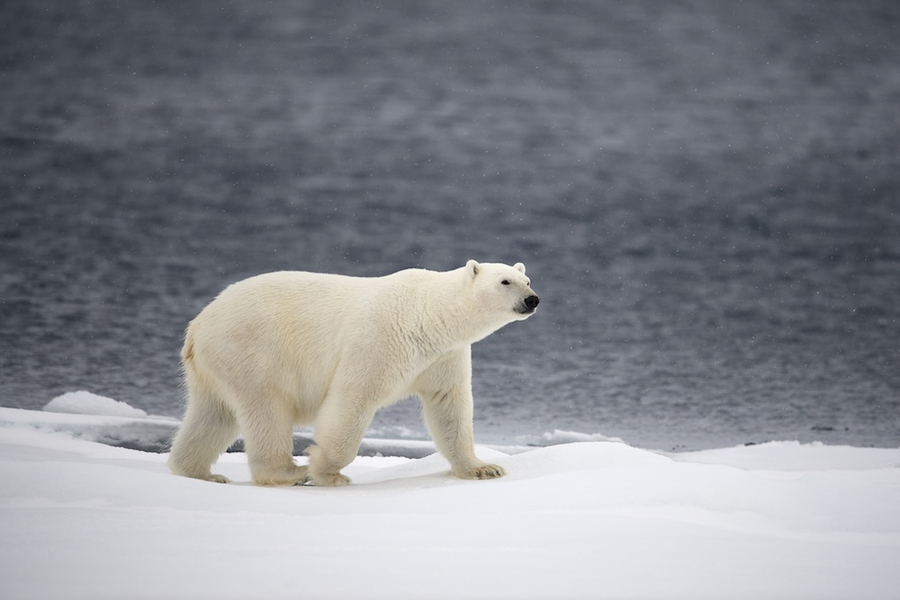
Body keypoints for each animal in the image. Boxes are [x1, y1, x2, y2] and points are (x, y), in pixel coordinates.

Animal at [166, 260, 536, 486]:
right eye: (505, 281)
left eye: (527, 279)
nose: (532, 299)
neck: (428, 315)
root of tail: (198, 325)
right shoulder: (379, 340)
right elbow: (354, 397)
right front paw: (325, 470)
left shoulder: (442, 357)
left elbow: (449, 406)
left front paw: (483, 468)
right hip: (253, 349)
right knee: (266, 408)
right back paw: (288, 472)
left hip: (216, 364)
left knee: (213, 415)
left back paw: (199, 473)